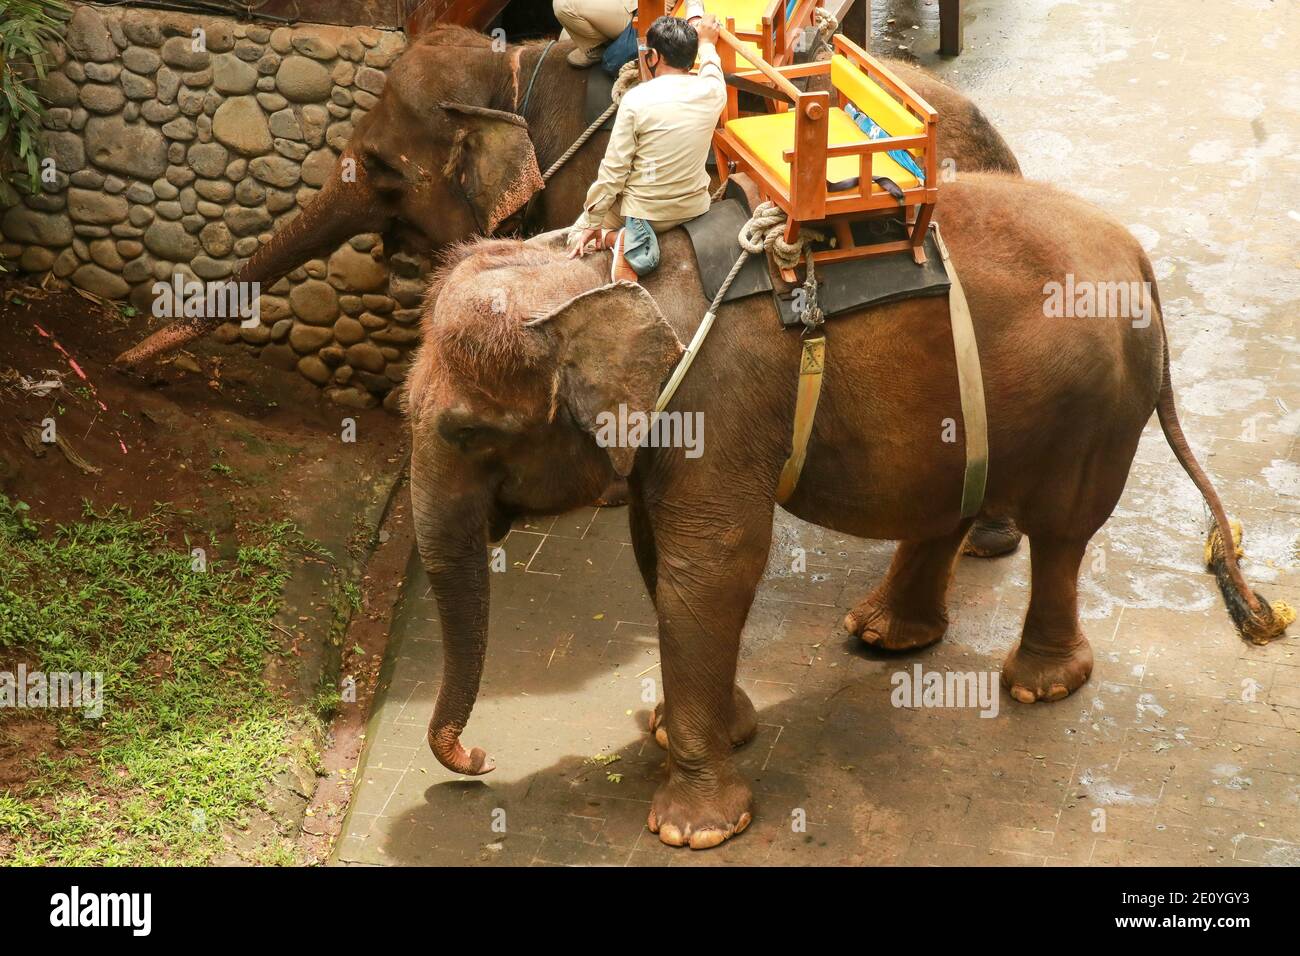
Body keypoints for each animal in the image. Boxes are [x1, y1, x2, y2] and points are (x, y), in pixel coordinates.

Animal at [404, 171, 1290, 849]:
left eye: (468, 432)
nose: (476, 759)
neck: (599, 274)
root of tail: (1138, 256)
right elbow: (661, 556)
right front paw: (691, 731)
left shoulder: (715, 406)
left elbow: (713, 566)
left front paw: (694, 829)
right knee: (951, 496)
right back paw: (885, 634)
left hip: (1092, 411)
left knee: (1063, 531)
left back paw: (1040, 686)